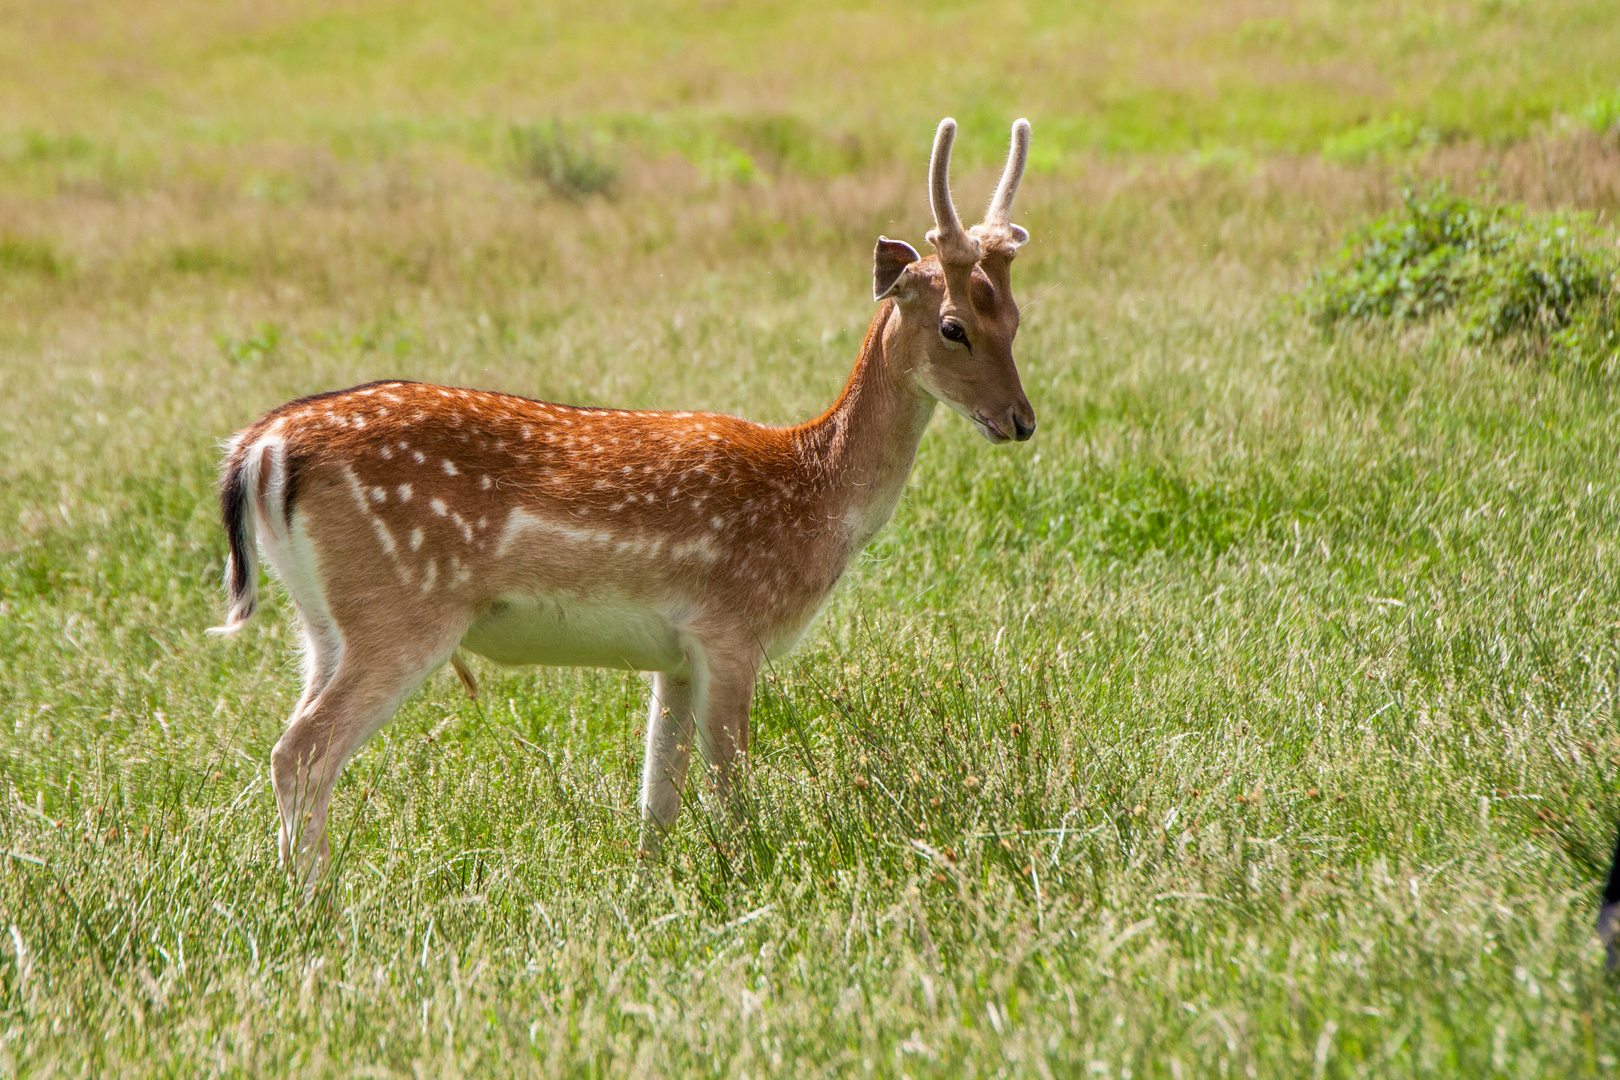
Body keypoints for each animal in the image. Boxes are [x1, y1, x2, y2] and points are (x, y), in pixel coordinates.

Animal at [208, 120, 1036, 893]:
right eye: (954, 326)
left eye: (1017, 318)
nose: (1021, 420)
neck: (816, 491)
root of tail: (259, 447)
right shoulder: (731, 627)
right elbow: (728, 790)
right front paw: (750, 877)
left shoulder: (673, 654)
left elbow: (657, 800)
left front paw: (647, 890)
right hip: (402, 610)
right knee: (302, 750)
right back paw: (316, 906)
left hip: (322, 623)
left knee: (295, 737)